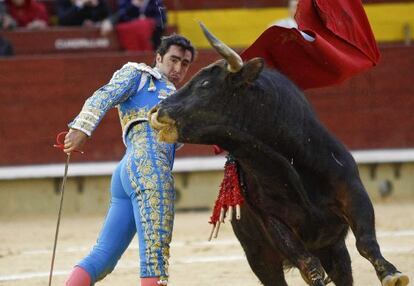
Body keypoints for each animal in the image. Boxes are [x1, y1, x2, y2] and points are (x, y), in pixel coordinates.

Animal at [148, 23, 408, 284]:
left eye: (204, 85)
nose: (156, 111)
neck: (289, 164)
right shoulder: (271, 220)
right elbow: (309, 265)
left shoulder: (351, 190)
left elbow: (366, 241)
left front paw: (392, 273)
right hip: (260, 259)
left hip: (333, 249)